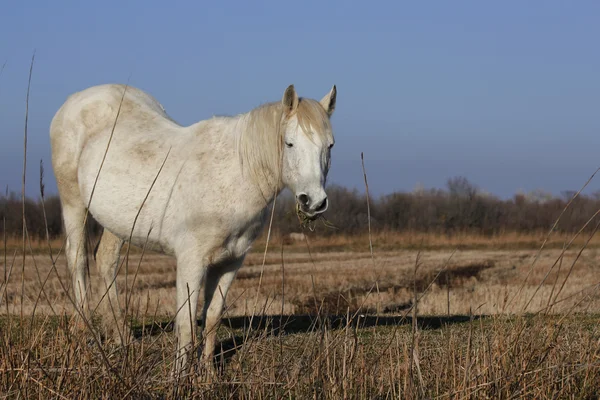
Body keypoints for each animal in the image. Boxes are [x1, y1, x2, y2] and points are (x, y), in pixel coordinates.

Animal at [49, 83, 336, 374]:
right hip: (73, 202)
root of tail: (78, 99)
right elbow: (186, 322)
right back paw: (86, 334)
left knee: (106, 260)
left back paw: (121, 337)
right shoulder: (191, 261)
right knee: (78, 260)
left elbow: (212, 317)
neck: (236, 175)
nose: (314, 201)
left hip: (116, 221)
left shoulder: (230, 262)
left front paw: (208, 373)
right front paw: (179, 375)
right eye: (289, 143)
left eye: (329, 146)